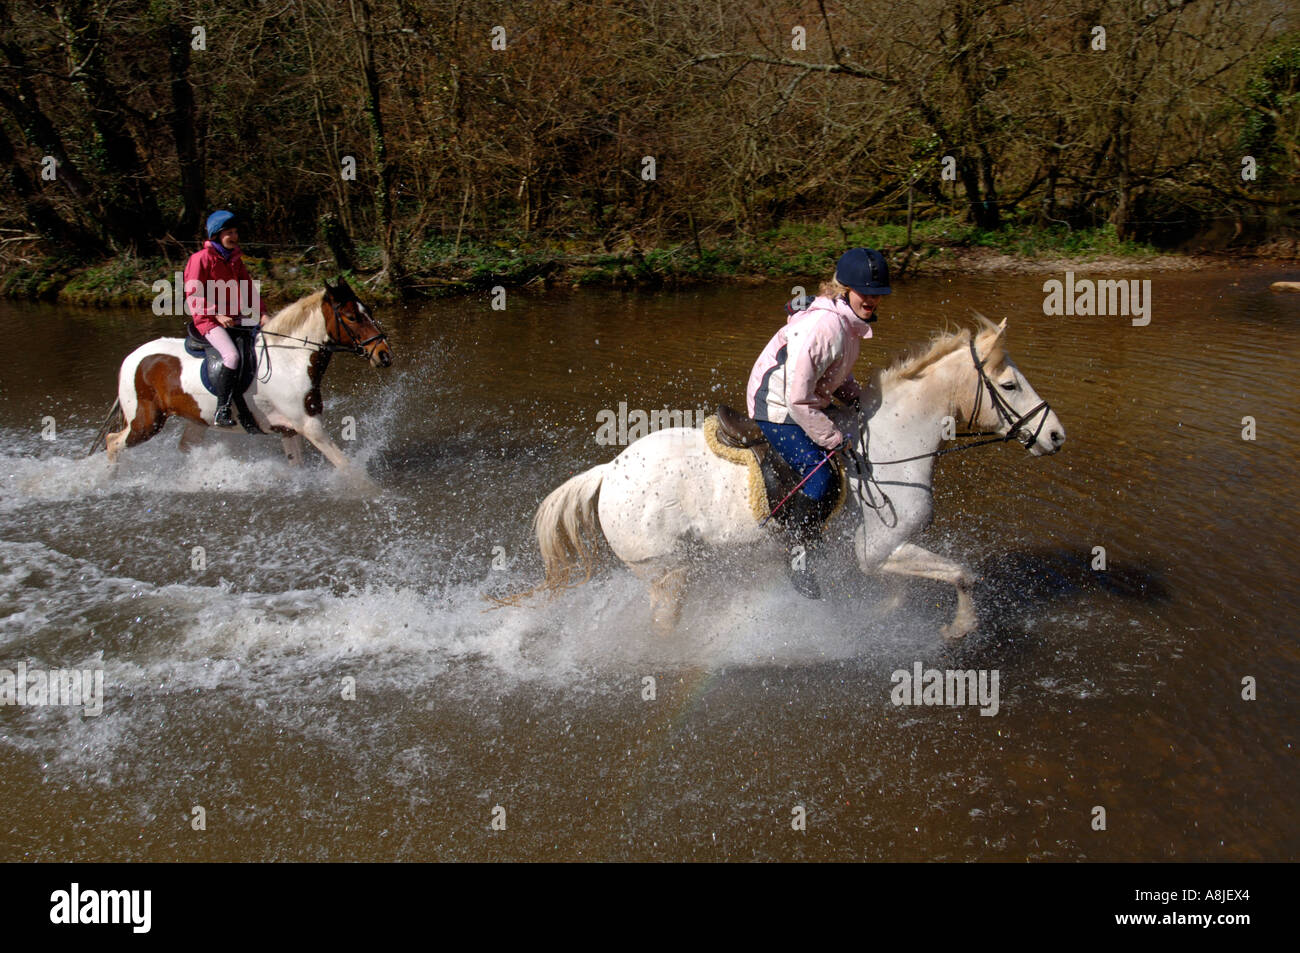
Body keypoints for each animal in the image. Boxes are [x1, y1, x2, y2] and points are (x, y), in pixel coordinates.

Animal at [101, 278, 390, 473]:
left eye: (368, 312)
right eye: (351, 317)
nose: (384, 354)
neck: (290, 359)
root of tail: (131, 358)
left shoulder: (289, 429)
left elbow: (298, 465)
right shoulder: (309, 426)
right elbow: (345, 465)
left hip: (196, 419)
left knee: (185, 446)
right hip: (146, 422)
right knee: (112, 442)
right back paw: (112, 478)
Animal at [533, 317, 1060, 639]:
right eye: (1009, 384)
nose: (1055, 435)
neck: (890, 445)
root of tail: (607, 473)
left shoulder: (885, 553)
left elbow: (905, 590)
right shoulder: (876, 549)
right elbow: (962, 574)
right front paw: (960, 628)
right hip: (668, 573)